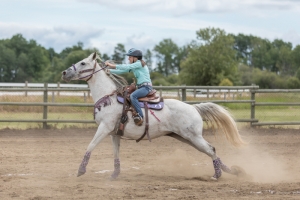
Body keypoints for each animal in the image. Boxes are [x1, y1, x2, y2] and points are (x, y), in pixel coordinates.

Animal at [61, 52, 246, 180]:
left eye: (83, 62)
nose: (64, 72)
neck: (109, 97)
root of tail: (194, 108)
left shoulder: (104, 128)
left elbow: (90, 146)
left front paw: (80, 170)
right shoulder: (114, 133)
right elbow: (116, 154)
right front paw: (115, 174)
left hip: (192, 136)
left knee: (211, 149)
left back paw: (218, 175)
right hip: (186, 137)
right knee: (210, 150)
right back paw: (232, 171)